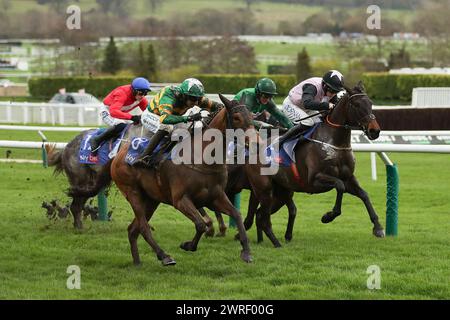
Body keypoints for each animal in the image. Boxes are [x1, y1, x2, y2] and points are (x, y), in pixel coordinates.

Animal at [110, 94, 256, 264]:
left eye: (251, 116)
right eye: (236, 117)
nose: (255, 142)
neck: (202, 158)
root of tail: (119, 154)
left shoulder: (215, 197)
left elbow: (237, 215)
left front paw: (246, 252)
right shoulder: (180, 200)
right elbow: (201, 224)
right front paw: (188, 245)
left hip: (152, 199)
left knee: (133, 229)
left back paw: (138, 262)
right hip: (133, 193)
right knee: (144, 227)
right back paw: (164, 256)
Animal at [244, 82, 384, 248]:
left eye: (370, 103)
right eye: (356, 104)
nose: (374, 131)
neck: (335, 143)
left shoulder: (348, 178)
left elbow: (364, 195)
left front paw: (378, 228)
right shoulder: (315, 180)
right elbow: (339, 186)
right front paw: (328, 216)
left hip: (282, 192)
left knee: (260, 215)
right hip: (264, 189)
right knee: (261, 216)